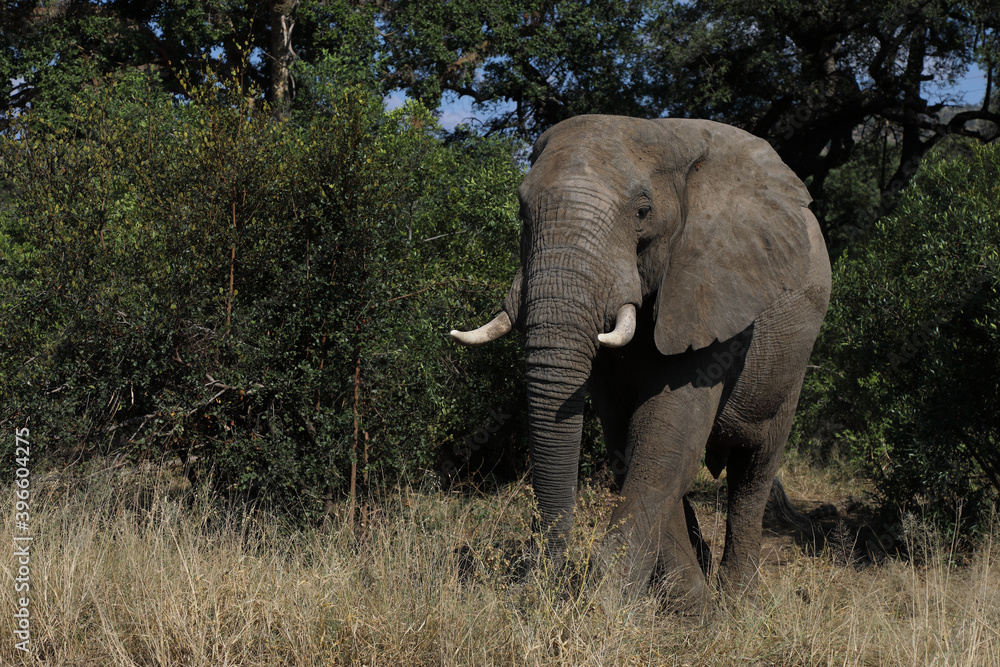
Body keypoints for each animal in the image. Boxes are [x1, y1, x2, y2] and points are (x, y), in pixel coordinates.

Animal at [450, 115, 831, 606]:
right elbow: (628, 442)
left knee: (754, 470)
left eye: (642, 212)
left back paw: (738, 599)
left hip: (794, 359)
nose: (530, 585)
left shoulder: (709, 291)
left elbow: (664, 445)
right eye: (521, 211)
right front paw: (682, 600)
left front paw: (611, 605)